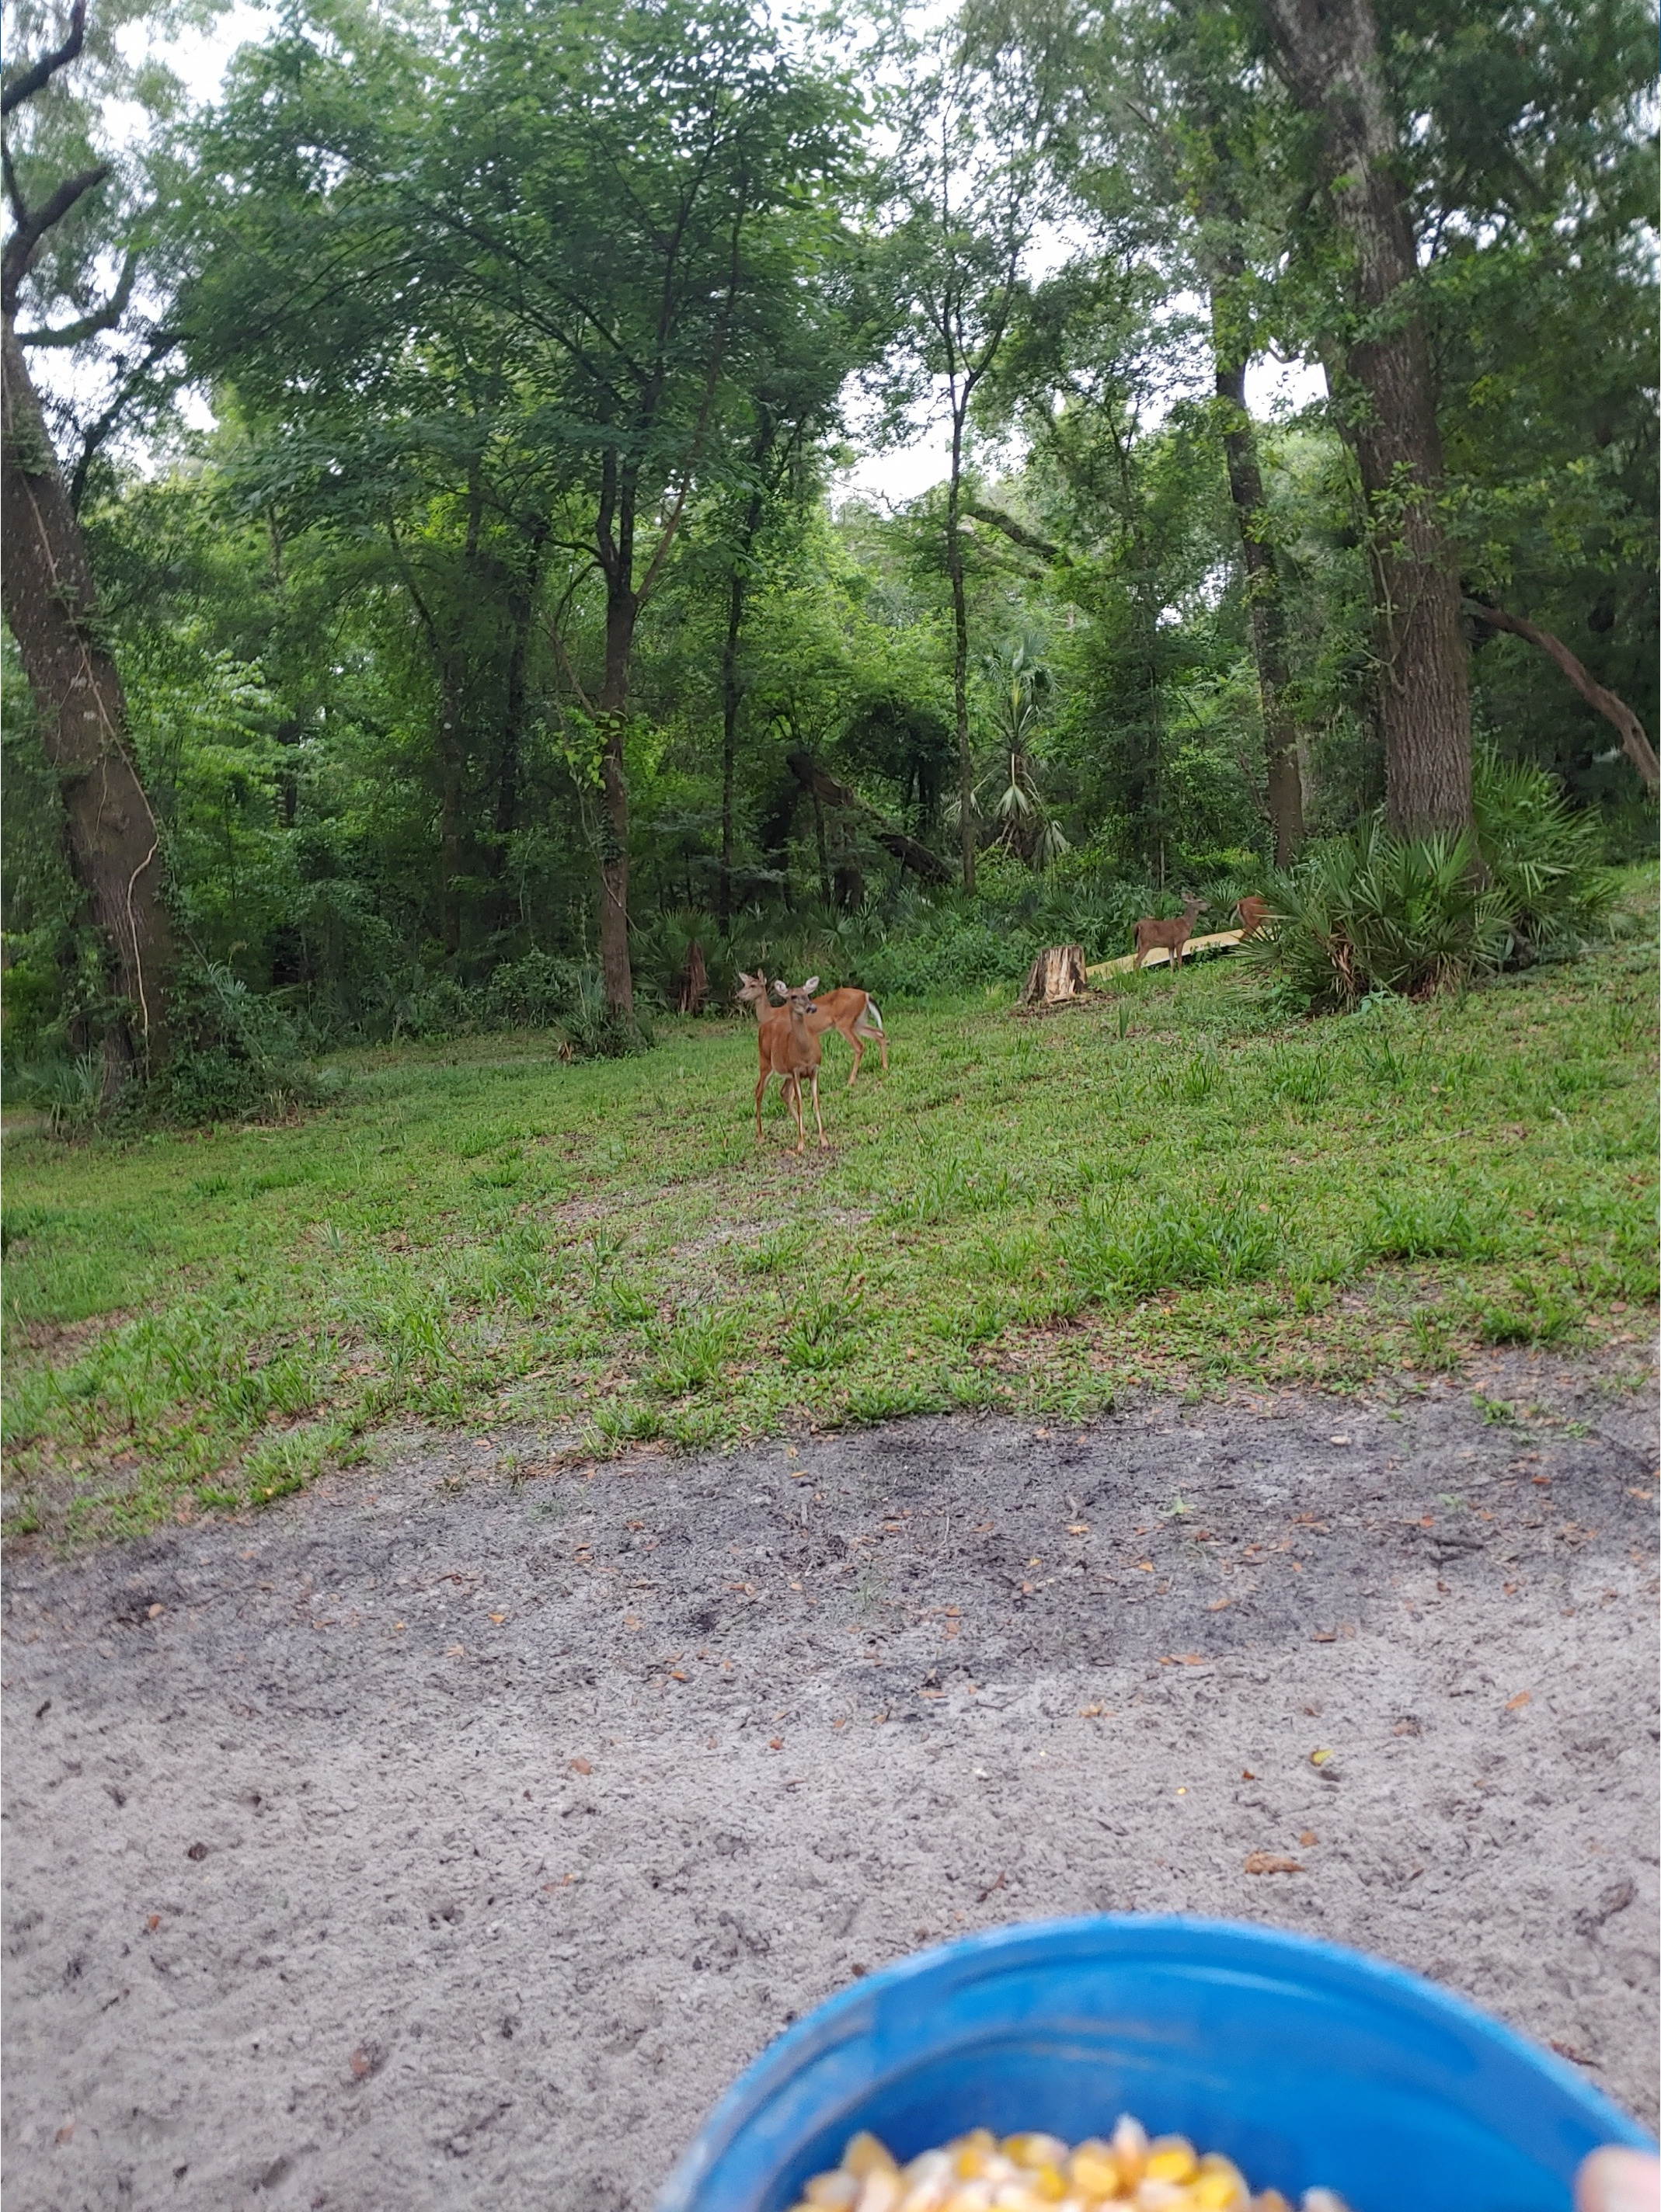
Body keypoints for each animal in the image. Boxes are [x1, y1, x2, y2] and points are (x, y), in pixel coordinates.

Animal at [738, 969, 889, 1088]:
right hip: (858, 1022)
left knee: (860, 1046)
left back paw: (851, 1081)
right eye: (745, 984)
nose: (739, 995)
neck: (771, 1014)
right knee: (880, 1034)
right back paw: (885, 1068)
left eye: (753, 985)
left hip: (845, 1022)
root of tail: (866, 995)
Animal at [756, 986, 827, 1159]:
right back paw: (760, 1136)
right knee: (758, 1092)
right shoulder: (795, 1071)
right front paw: (800, 1145)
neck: (805, 1054)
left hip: (785, 1073)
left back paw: (805, 1131)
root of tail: (763, 1027)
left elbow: (816, 1102)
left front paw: (823, 1140)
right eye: (793, 996)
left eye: (807, 994)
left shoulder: (814, 1069)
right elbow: (800, 1104)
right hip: (765, 1062)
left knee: (783, 1092)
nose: (812, 1008)